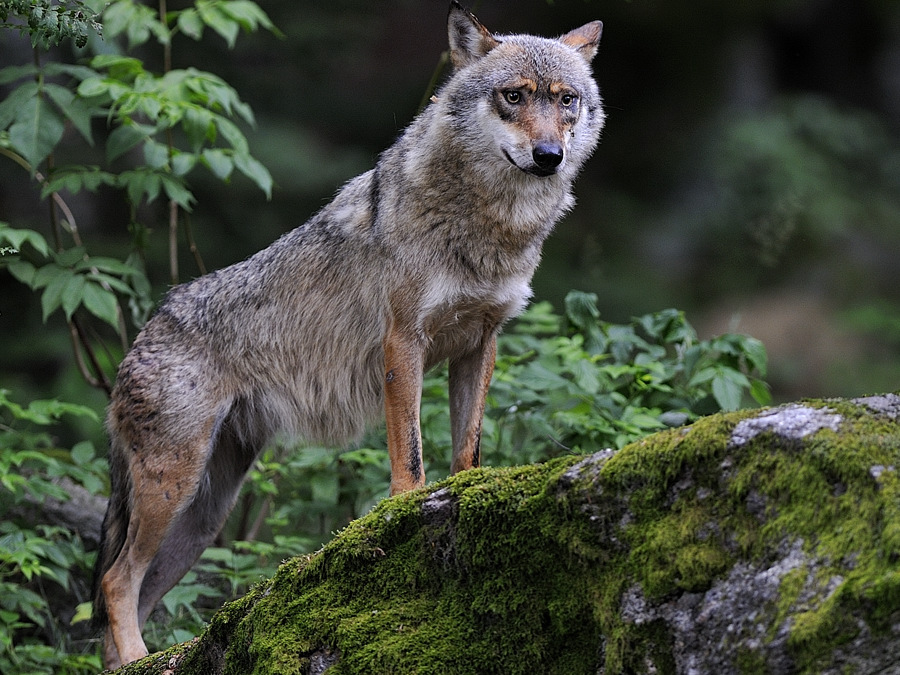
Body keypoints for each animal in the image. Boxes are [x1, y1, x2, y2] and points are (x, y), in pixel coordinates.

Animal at [93, 1, 604, 668]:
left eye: (567, 100)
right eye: (513, 96)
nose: (549, 155)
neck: (489, 230)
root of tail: (148, 326)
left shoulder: (482, 342)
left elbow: (466, 449)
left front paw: (465, 493)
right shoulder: (402, 342)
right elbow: (410, 453)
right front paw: (407, 510)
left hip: (202, 519)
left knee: (131, 593)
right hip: (174, 489)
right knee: (114, 581)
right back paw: (135, 657)